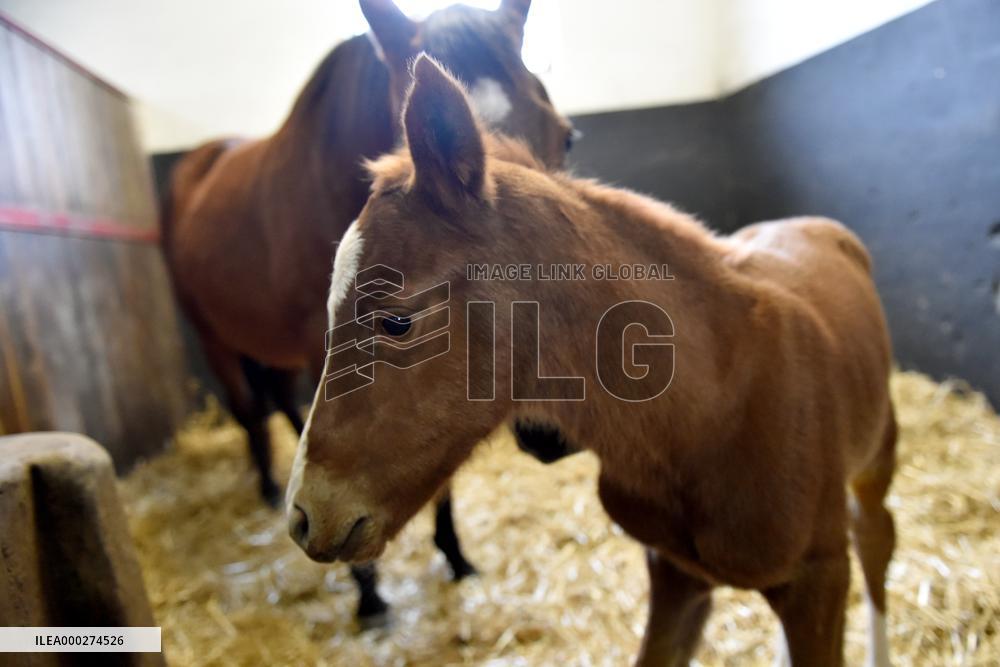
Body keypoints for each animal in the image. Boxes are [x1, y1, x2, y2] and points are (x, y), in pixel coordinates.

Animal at [160, 0, 573, 626]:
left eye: (566, 138)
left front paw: (454, 556)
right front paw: (370, 594)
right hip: (215, 339)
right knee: (250, 411)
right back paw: (268, 487)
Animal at [286, 55, 898, 666]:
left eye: (396, 320)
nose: (304, 516)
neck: (713, 409)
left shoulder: (819, 580)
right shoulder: (677, 573)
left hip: (875, 462)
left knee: (877, 539)